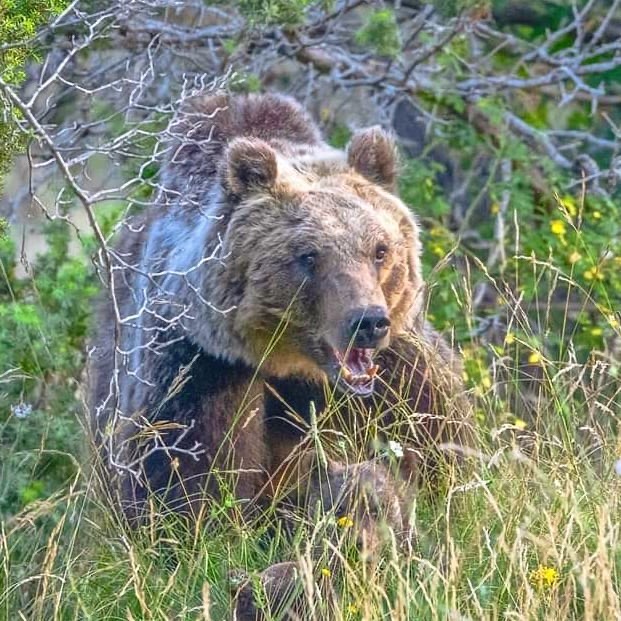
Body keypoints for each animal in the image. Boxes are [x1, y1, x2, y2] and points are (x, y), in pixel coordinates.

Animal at [88, 92, 470, 532]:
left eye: (379, 249)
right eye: (309, 256)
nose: (368, 322)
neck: (295, 366)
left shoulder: (400, 373)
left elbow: (439, 452)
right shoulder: (202, 366)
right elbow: (185, 484)